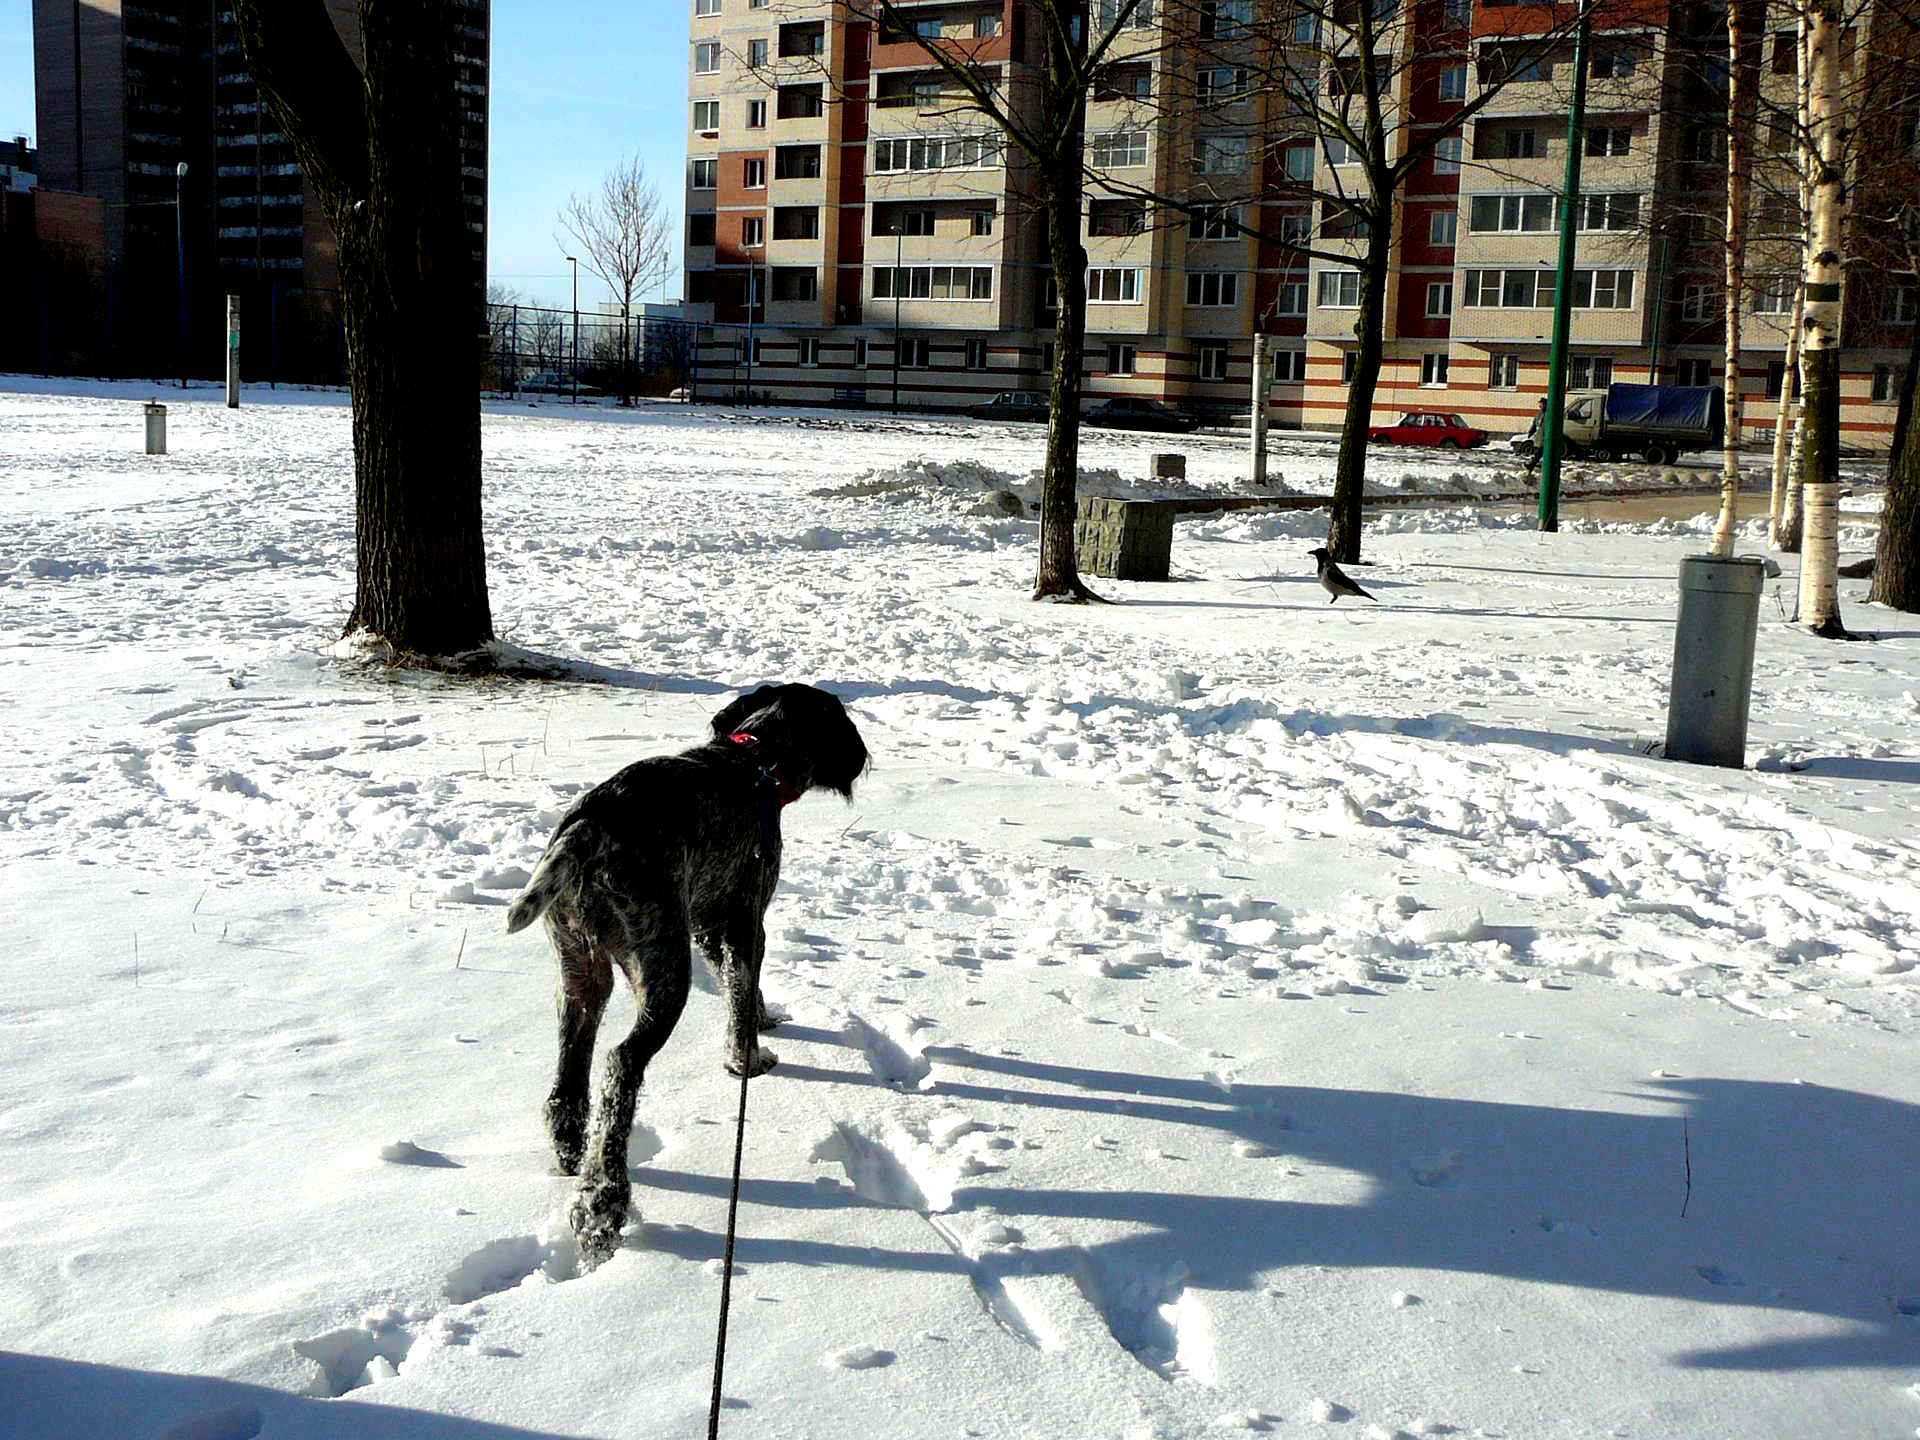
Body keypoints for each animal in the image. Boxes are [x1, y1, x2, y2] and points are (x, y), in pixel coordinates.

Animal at [510, 683, 871, 1259]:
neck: (756, 758)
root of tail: (589, 828)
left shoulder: (708, 923)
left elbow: (740, 990)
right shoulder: (745, 917)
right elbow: (742, 993)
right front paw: (748, 1060)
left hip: (581, 972)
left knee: (570, 1072)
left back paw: (570, 1152)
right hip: (663, 968)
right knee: (620, 1066)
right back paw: (602, 1201)